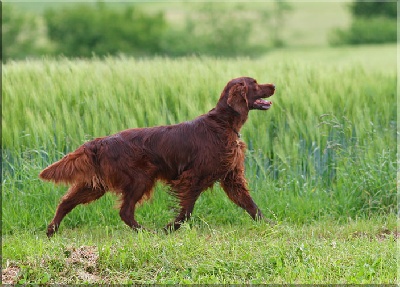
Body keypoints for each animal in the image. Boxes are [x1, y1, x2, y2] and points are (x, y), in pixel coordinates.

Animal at [40, 76, 276, 236]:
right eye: (255, 83)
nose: (274, 85)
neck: (223, 123)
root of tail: (100, 141)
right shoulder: (193, 177)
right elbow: (187, 211)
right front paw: (170, 228)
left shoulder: (231, 177)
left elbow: (251, 205)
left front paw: (270, 224)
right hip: (139, 179)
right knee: (125, 211)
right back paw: (145, 231)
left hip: (97, 185)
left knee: (66, 202)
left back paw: (52, 230)